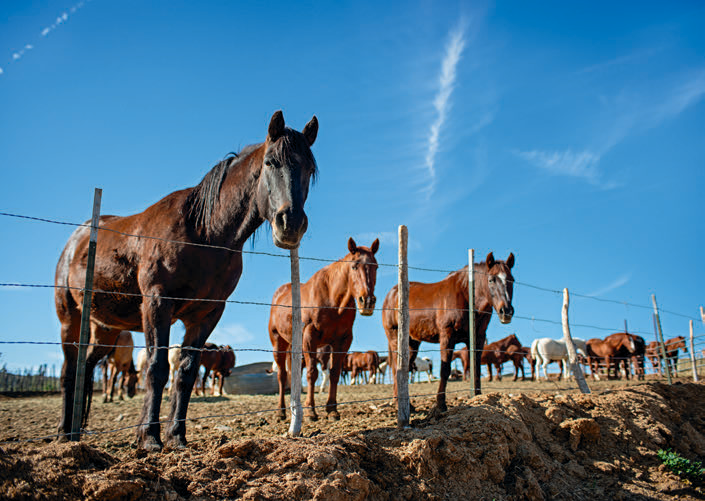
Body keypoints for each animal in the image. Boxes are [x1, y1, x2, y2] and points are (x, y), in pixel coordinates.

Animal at [54, 111, 319, 450]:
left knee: (84, 369)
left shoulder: (207, 313)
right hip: (70, 318)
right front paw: (150, 437)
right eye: (271, 162)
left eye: (310, 169)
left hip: (105, 329)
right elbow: (157, 369)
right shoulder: (157, 304)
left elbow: (187, 372)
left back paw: (76, 432)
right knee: (68, 371)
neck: (203, 232)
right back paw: (64, 433)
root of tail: (77, 238)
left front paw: (176, 436)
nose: (291, 224)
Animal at [269, 237, 379, 421]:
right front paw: (310, 410)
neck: (332, 300)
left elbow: (334, 373)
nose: (367, 301)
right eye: (354, 266)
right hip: (278, 343)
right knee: (282, 375)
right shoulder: (309, 338)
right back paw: (280, 411)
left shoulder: (343, 341)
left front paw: (332, 409)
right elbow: (312, 373)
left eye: (376, 266)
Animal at [383, 252, 515, 412]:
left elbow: (476, 368)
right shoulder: (447, 336)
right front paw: (440, 404)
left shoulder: (478, 338)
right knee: (397, 368)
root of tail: (391, 294)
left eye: (512, 280)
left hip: (412, 343)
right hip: (395, 338)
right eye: (491, 280)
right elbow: (445, 370)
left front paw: (478, 397)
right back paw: (399, 404)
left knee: (405, 368)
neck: (466, 295)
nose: (506, 311)